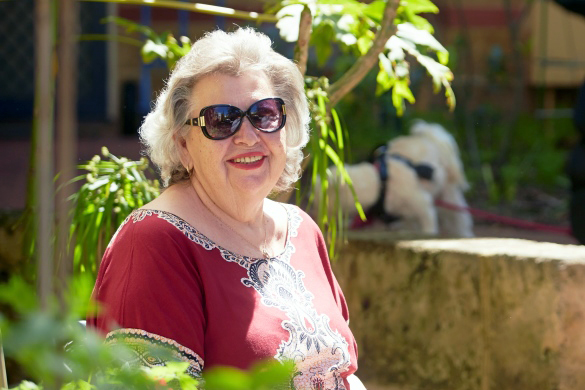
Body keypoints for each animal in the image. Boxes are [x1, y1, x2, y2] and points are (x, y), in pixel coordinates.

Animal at [324, 121, 474, 238]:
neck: (380, 182)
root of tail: (433, 139)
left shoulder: (421, 201)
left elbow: (428, 221)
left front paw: (428, 233)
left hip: (448, 195)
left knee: (459, 218)